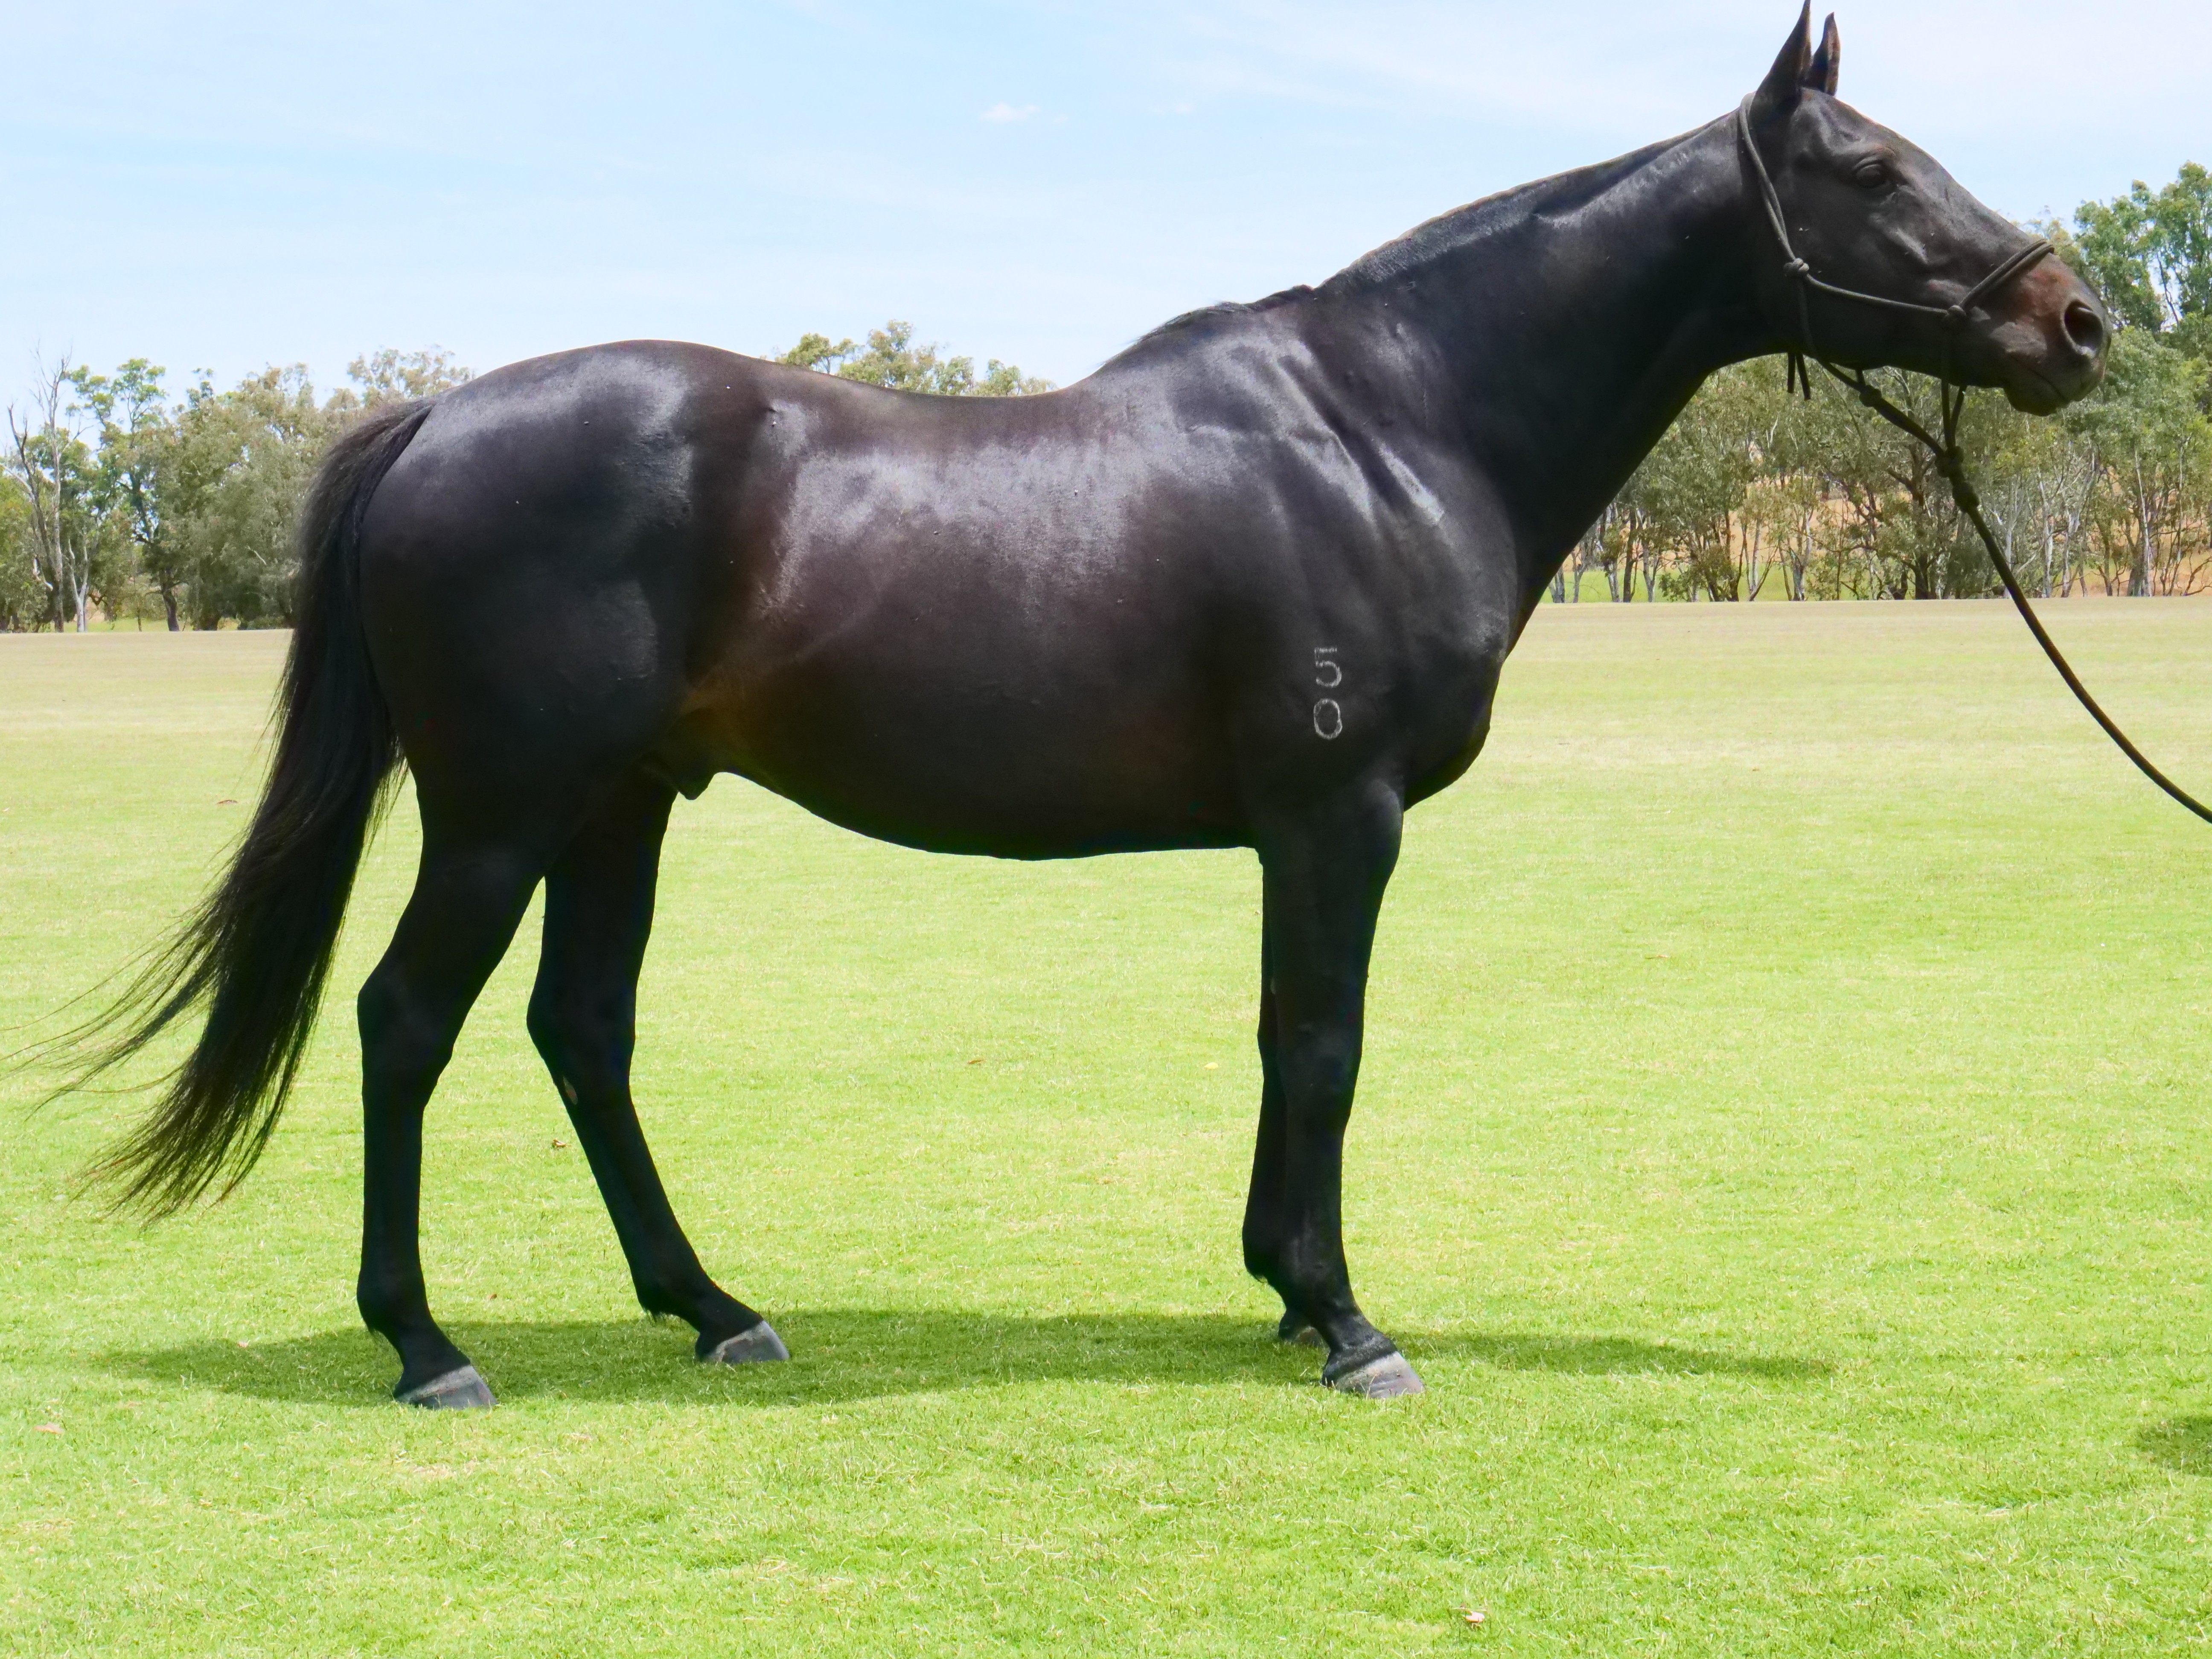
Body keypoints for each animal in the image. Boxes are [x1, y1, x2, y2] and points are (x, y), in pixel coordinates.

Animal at [80, 6, 2107, 1406]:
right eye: (1875, 173)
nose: (2075, 324)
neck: (1391, 424)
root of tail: (437, 416)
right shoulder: (1335, 818)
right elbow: (1323, 1045)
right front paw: (1342, 1318)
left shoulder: (1302, 831)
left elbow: (1291, 1045)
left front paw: (1283, 1286)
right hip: (502, 813)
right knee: (405, 1024)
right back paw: (427, 1346)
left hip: (622, 806)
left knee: (583, 1032)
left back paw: (718, 1310)